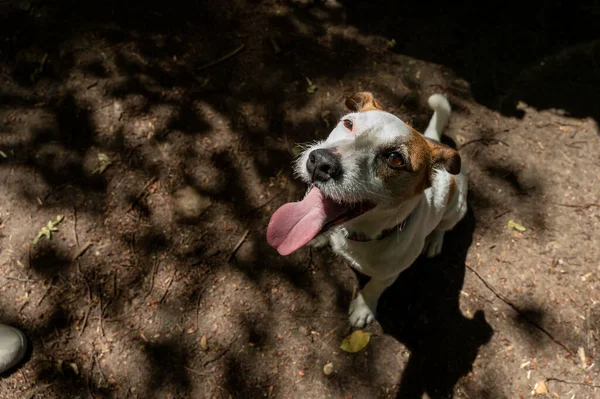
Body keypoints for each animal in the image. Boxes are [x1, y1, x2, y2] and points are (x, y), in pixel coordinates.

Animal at [264, 94, 466, 328]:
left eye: (395, 158)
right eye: (348, 123)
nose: (321, 162)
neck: (361, 235)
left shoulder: (388, 275)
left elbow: (373, 288)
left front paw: (363, 308)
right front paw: (320, 238)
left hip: (456, 209)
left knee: (444, 226)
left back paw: (434, 240)